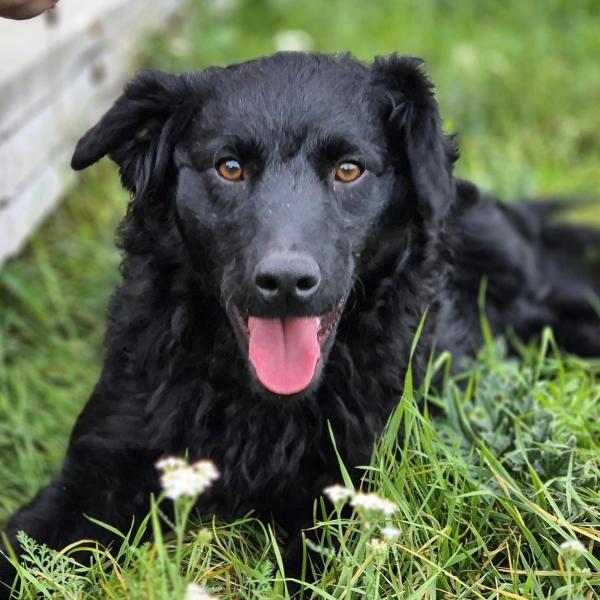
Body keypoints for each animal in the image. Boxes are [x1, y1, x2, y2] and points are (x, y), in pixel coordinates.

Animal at [1, 52, 599, 596]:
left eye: (349, 170)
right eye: (230, 167)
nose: (286, 281)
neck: (261, 409)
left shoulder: (351, 491)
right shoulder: (96, 469)